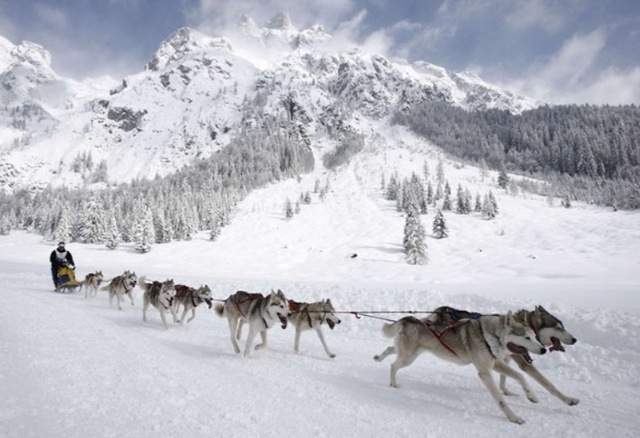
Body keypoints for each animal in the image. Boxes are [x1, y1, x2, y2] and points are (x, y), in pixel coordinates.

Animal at [376, 310, 544, 426]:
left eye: (534, 336)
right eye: (526, 337)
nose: (543, 350)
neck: (488, 335)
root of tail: (407, 319)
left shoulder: (496, 363)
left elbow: (520, 376)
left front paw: (532, 396)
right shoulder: (485, 372)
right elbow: (501, 400)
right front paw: (513, 417)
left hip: (410, 354)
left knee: (391, 349)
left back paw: (379, 357)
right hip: (408, 358)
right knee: (393, 365)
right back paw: (393, 383)